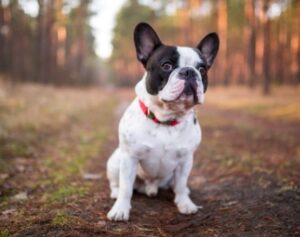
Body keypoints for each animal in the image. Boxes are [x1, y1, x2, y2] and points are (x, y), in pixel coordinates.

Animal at [106, 22, 219, 220]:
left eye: (202, 69)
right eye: (166, 66)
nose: (189, 72)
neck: (166, 120)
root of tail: (150, 186)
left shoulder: (185, 160)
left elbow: (181, 184)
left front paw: (184, 203)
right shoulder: (129, 158)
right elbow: (126, 187)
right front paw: (120, 210)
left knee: (177, 185)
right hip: (115, 160)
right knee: (117, 183)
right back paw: (115, 193)